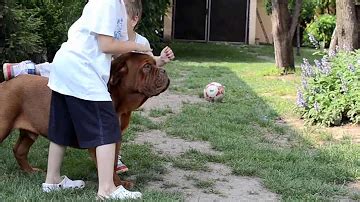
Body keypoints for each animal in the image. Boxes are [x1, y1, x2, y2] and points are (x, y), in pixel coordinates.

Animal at [0, 52, 170, 188]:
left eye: (155, 65)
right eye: (146, 67)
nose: (164, 70)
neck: (120, 103)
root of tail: (4, 84)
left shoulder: (116, 137)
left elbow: (113, 162)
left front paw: (120, 183)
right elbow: (108, 165)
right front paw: (117, 186)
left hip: (29, 132)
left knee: (19, 150)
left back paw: (31, 171)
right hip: (4, 125)